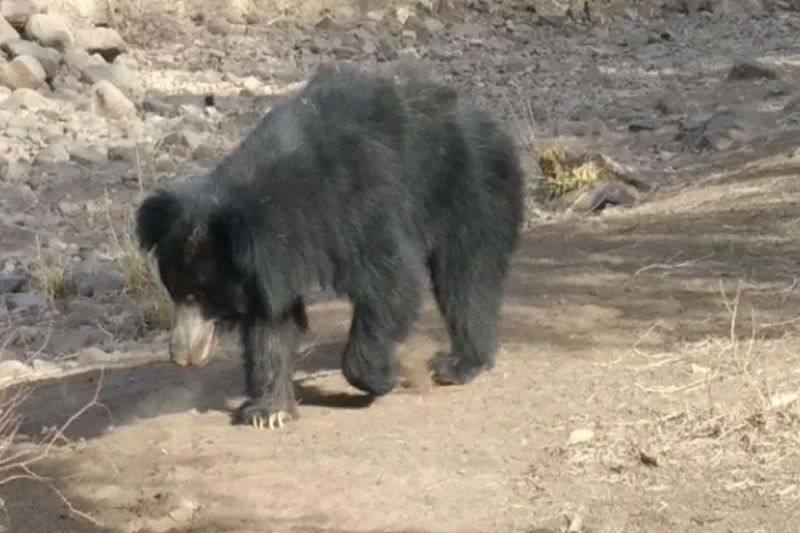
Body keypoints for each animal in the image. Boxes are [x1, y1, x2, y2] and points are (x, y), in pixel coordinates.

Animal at [135, 60, 524, 429]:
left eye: (198, 295)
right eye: (173, 291)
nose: (180, 355)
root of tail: (487, 120)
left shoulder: (360, 208)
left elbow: (392, 282)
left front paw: (382, 378)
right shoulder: (267, 265)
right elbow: (271, 325)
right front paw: (268, 412)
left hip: (471, 187)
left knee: (467, 277)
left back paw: (459, 364)